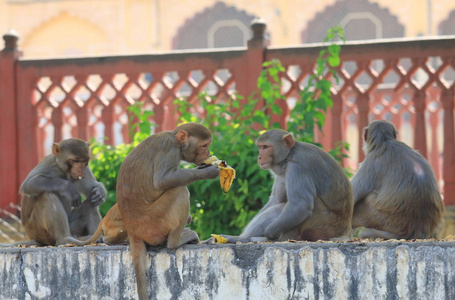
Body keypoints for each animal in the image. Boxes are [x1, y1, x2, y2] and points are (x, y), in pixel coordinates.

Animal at [117, 122, 221, 300]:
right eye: (204, 145)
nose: (208, 153)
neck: (176, 141)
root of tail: (133, 232)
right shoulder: (169, 149)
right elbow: (163, 180)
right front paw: (208, 172)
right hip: (155, 222)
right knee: (180, 190)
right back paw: (176, 241)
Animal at [216, 129, 354, 244]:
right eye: (260, 147)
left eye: (266, 147)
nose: (259, 157)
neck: (289, 155)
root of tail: (344, 232)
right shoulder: (281, 173)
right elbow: (276, 199)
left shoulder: (298, 167)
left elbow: (300, 205)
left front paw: (269, 233)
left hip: (322, 226)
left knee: (286, 208)